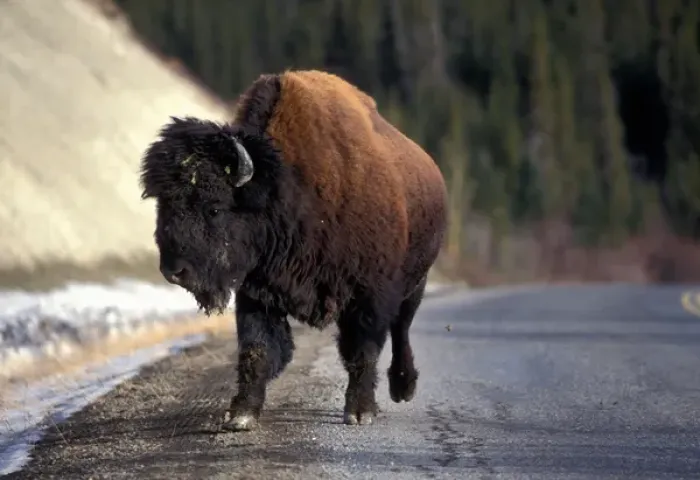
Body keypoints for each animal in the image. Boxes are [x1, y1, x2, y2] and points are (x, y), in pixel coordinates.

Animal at [139, 69, 448, 430]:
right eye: (163, 205)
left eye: (214, 207)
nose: (174, 270)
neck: (287, 186)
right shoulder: (257, 293)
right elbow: (257, 350)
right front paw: (241, 414)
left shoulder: (370, 295)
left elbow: (362, 351)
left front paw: (360, 412)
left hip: (416, 283)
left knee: (401, 330)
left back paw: (403, 387)